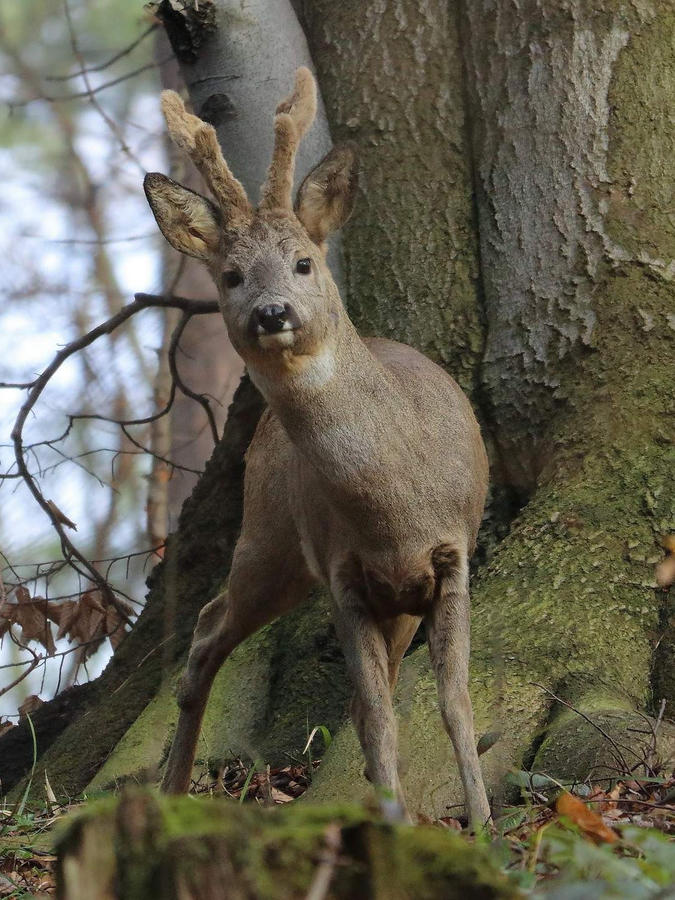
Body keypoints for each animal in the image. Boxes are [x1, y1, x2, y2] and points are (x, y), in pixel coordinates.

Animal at [145, 68, 492, 828]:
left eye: (303, 262)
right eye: (231, 276)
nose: (271, 313)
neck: (396, 507)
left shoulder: (452, 555)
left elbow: (452, 703)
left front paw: (485, 826)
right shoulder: (340, 571)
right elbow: (376, 714)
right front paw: (398, 825)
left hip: (371, 591)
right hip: (269, 537)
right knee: (208, 631)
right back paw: (173, 790)